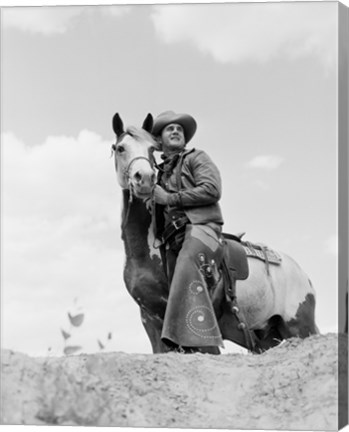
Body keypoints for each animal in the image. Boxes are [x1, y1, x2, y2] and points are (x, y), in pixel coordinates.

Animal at [111, 113, 318, 352]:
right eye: (120, 148)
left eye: (152, 148)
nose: (144, 179)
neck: (148, 251)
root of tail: (302, 274)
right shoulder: (151, 322)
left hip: (301, 327)